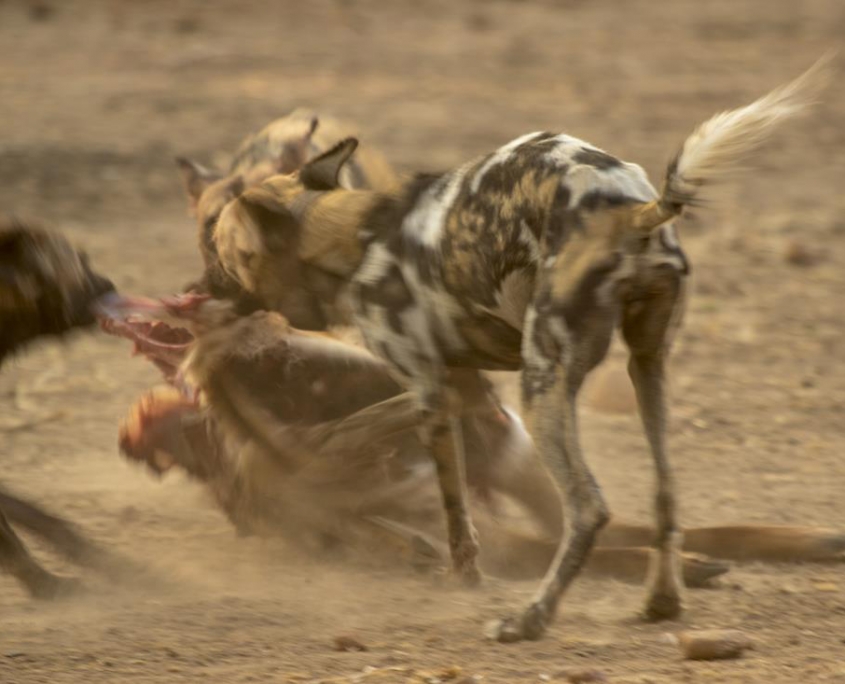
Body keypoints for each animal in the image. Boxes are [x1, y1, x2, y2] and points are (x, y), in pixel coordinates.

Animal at [203, 57, 832, 640]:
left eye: (216, 251)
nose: (196, 285)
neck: (351, 240)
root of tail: (632, 209)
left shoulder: (433, 393)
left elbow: (456, 515)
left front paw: (464, 578)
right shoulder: (454, 388)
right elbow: (353, 433)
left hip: (542, 383)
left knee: (588, 508)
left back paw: (531, 618)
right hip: (646, 370)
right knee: (665, 494)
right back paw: (662, 603)